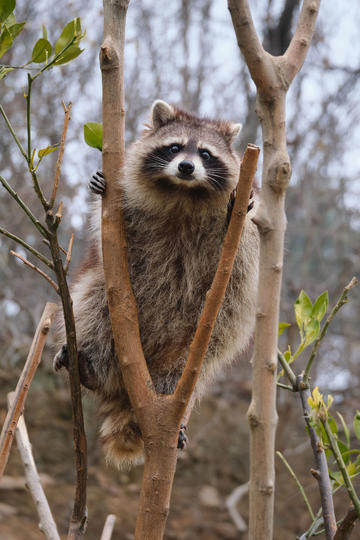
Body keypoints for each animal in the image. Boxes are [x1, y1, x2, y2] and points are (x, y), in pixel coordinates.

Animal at [53, 100, 260, 468]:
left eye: (205, 154)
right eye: (174, 148)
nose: (187, 167)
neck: (182, 193)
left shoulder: (243, 235)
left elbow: (240, 253)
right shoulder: (125, 209)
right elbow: (107, 239)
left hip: (204, 338)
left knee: (198, 357)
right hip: (104, 305)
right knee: (92, 301)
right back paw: (91, 367)